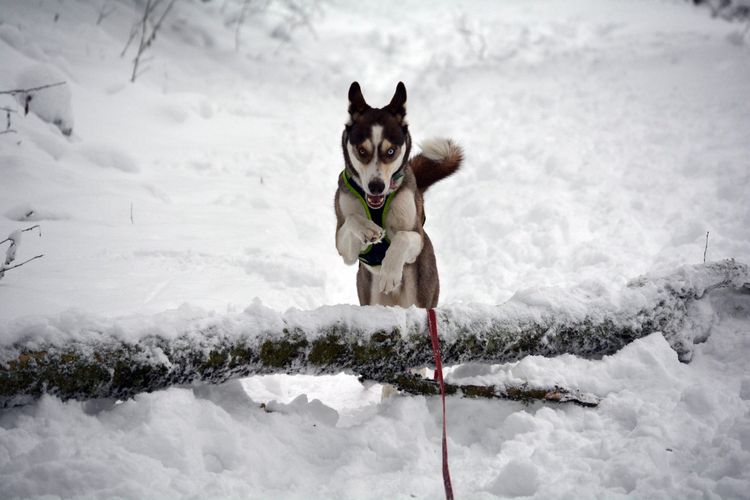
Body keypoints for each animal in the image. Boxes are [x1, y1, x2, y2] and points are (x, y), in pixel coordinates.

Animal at [336, 82, 464, 308]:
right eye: (361, 151)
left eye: (390, 151)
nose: (376, 186)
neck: (377, 207)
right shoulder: (346, 252)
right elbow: (351, 219)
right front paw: (367, 228)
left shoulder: (416, 236)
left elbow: (403, 237)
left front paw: (389, 272)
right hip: (370, 294)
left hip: (419, 291)